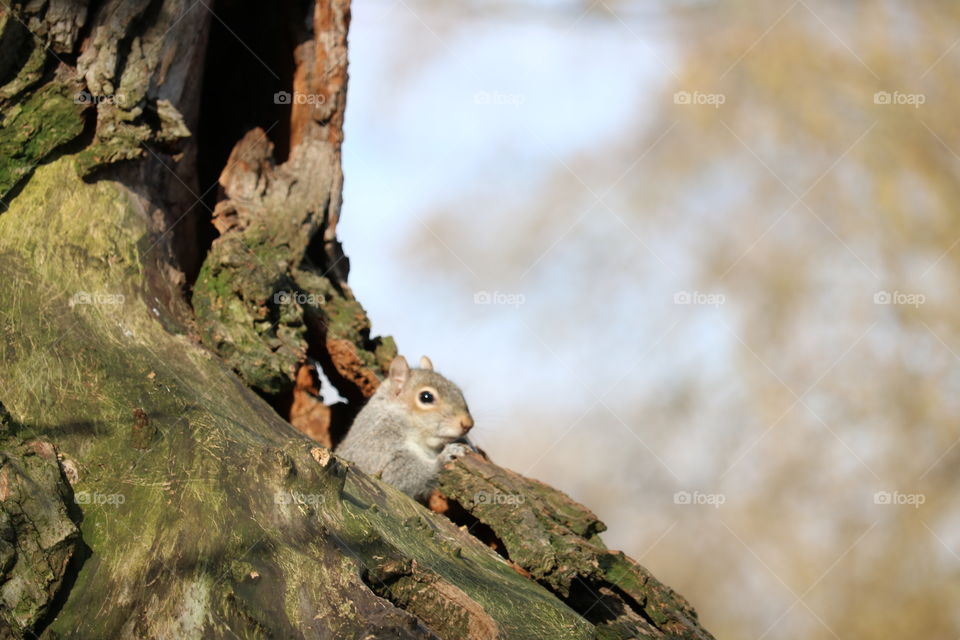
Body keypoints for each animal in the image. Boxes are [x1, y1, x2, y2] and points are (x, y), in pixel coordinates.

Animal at [335, 355, 475, 502]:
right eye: (426, 397)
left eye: (458, 391)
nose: (468, 424)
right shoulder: (378, 445)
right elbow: (396, 476)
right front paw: (446, 456)